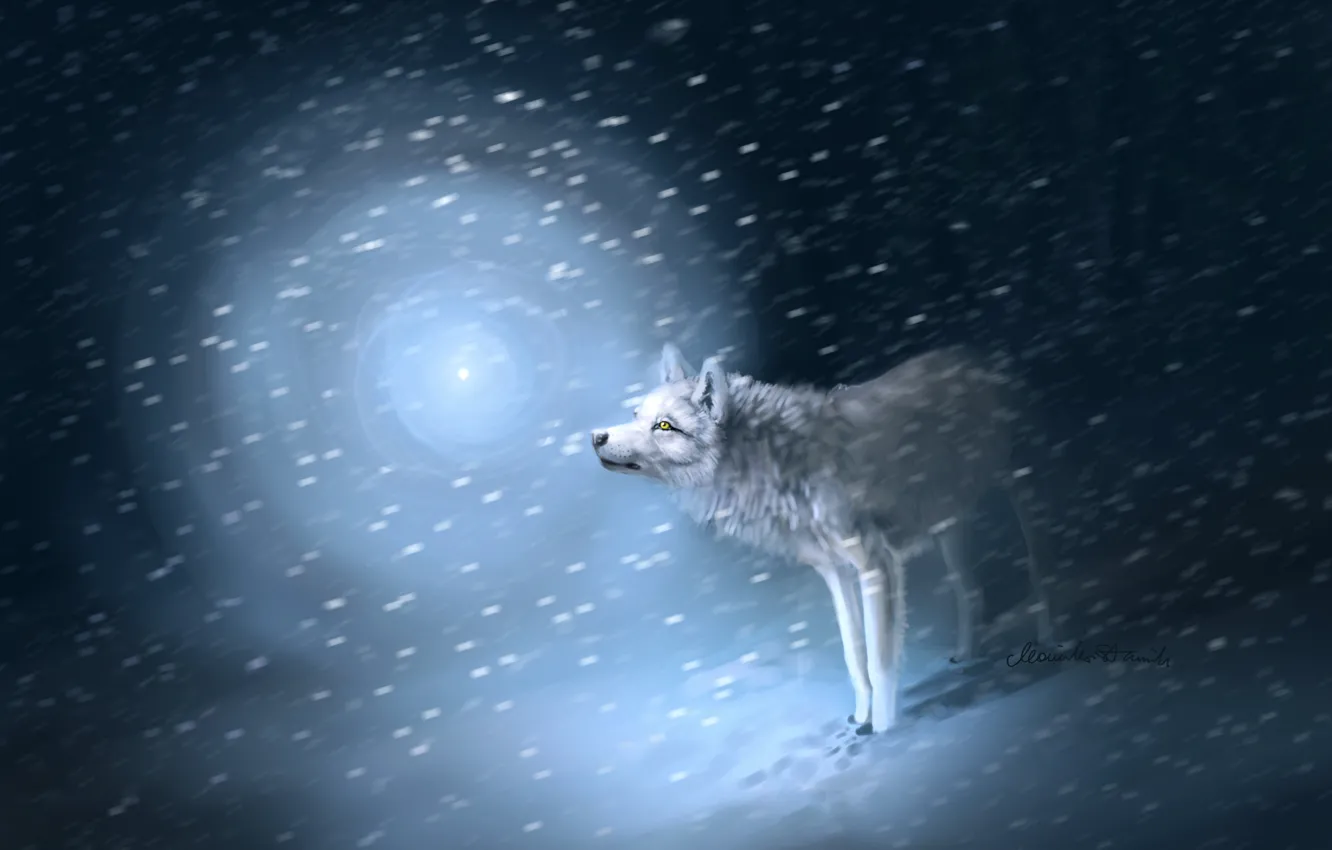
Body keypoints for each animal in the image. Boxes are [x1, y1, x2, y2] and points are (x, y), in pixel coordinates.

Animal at [591, 343, 1058, 734]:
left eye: (664, 426)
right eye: (635, 415)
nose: (596, 436)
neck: (775, 464)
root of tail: (979, 359)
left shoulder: (877, 566)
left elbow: (881, 659)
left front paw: (885, 730)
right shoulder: (836, 574)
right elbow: (855, 656)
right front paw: (861, 720)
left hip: (1021, 497)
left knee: (1042, 570)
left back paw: (1051, 640)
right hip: (948, 526)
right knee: (970, 590)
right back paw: (965, 655)